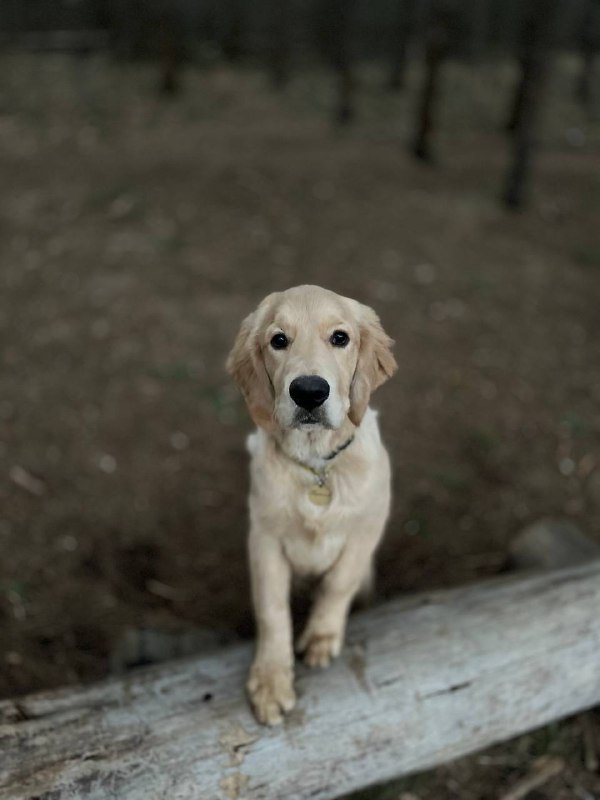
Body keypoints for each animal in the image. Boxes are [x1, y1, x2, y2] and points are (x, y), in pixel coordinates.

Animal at [227, 286, 396, 724]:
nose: (308, 392)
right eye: (278, 340)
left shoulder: (367, 528)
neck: (317, 463)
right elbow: (272, 610)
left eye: (340, 337)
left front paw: (322, 638)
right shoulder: (264, 537)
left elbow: (339, 582)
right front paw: (271, 681)